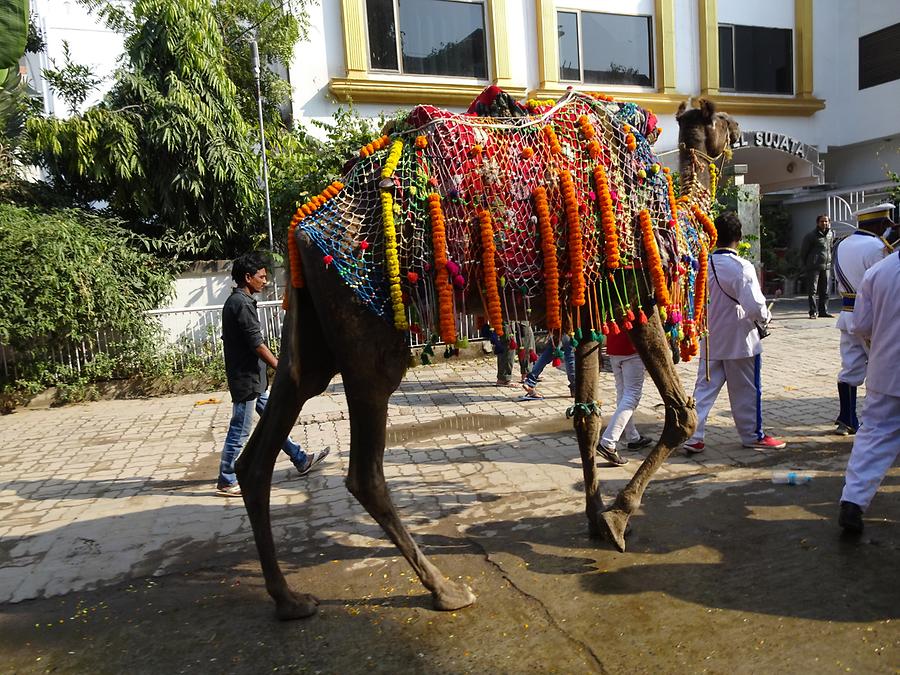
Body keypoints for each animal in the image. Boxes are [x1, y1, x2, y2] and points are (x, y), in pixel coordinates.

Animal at [232, 92, 740, 620]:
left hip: (309, 323)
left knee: (270, 435)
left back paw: (289, 598)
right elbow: (679, 415)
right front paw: (619, 518)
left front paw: (595, 518)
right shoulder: (634, 290)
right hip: (366, 329)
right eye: (723, 120)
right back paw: (444, 589)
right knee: (364, 470)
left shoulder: (588, 305)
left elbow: (586, 419)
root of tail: (301, 229)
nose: (742, 130)